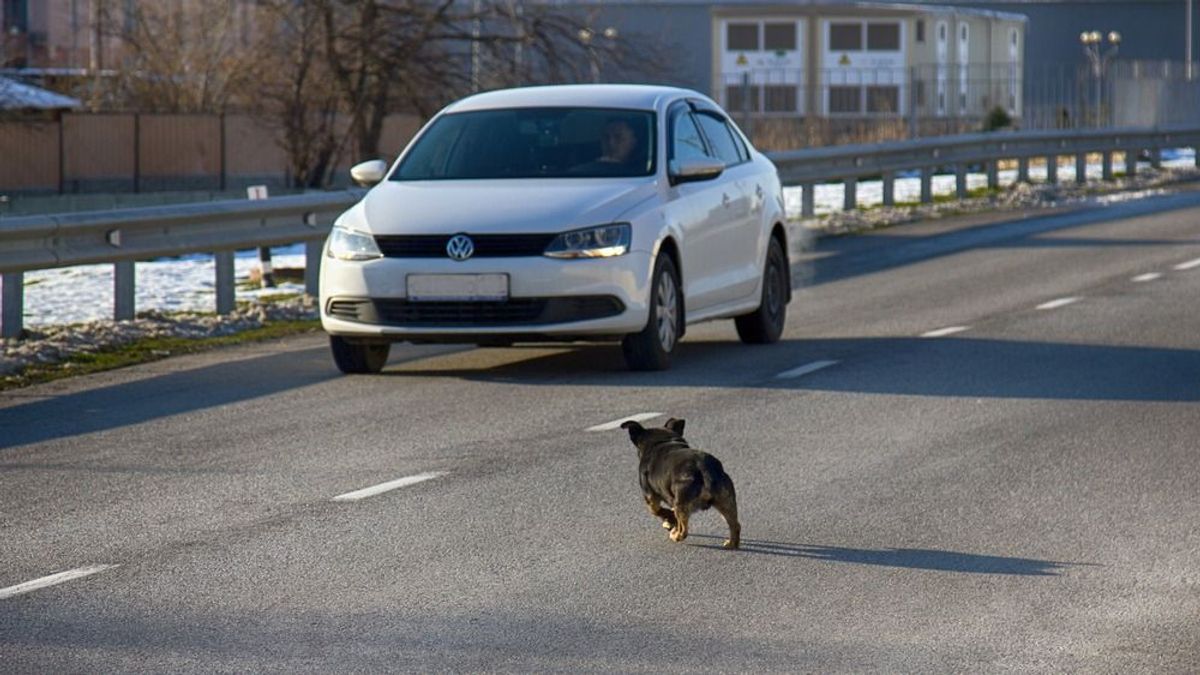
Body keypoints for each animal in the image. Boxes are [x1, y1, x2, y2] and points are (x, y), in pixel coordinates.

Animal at [619, 415, 739, 547]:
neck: (661, 442)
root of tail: (703, 468)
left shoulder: (650, 498)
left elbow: (658, 511)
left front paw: (669, 520)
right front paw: (669, 522)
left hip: (681, 504)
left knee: (684, 530)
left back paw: (676, 535)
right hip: (726, 502)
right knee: (735, 525)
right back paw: (731, 544)